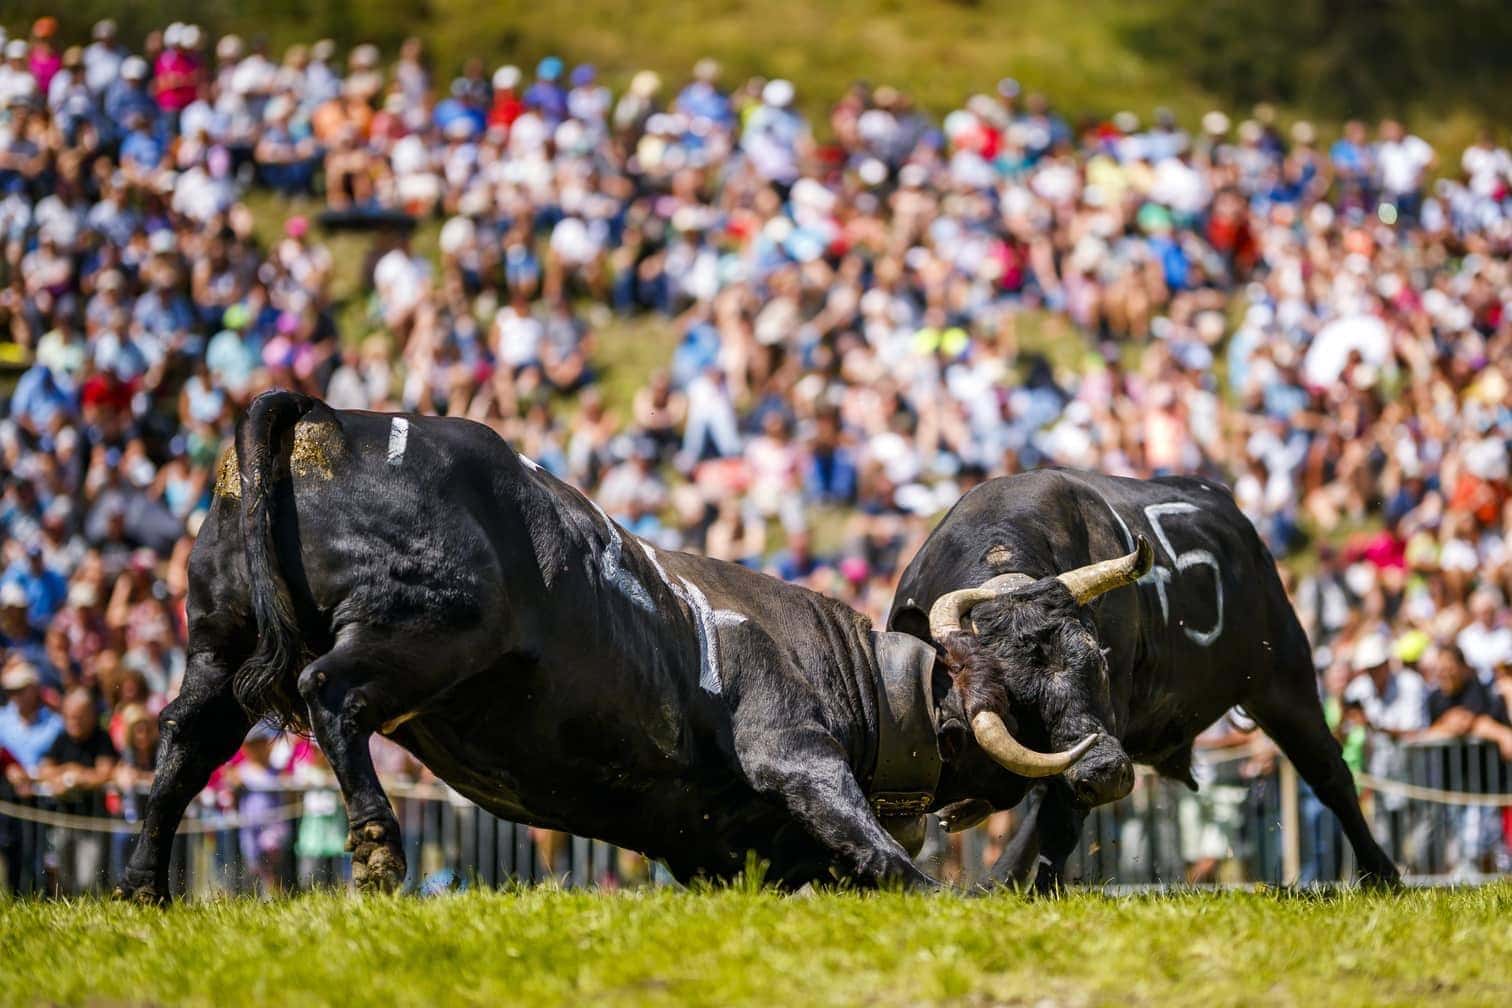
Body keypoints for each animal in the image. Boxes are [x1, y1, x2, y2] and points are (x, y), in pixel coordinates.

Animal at [889, 468, 1397, 888]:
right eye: (1010, 697)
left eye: (1099, 662)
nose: (1106, 772)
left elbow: (1059, 816)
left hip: (1284, 681)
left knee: (1331, 774)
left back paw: (1382, 874)